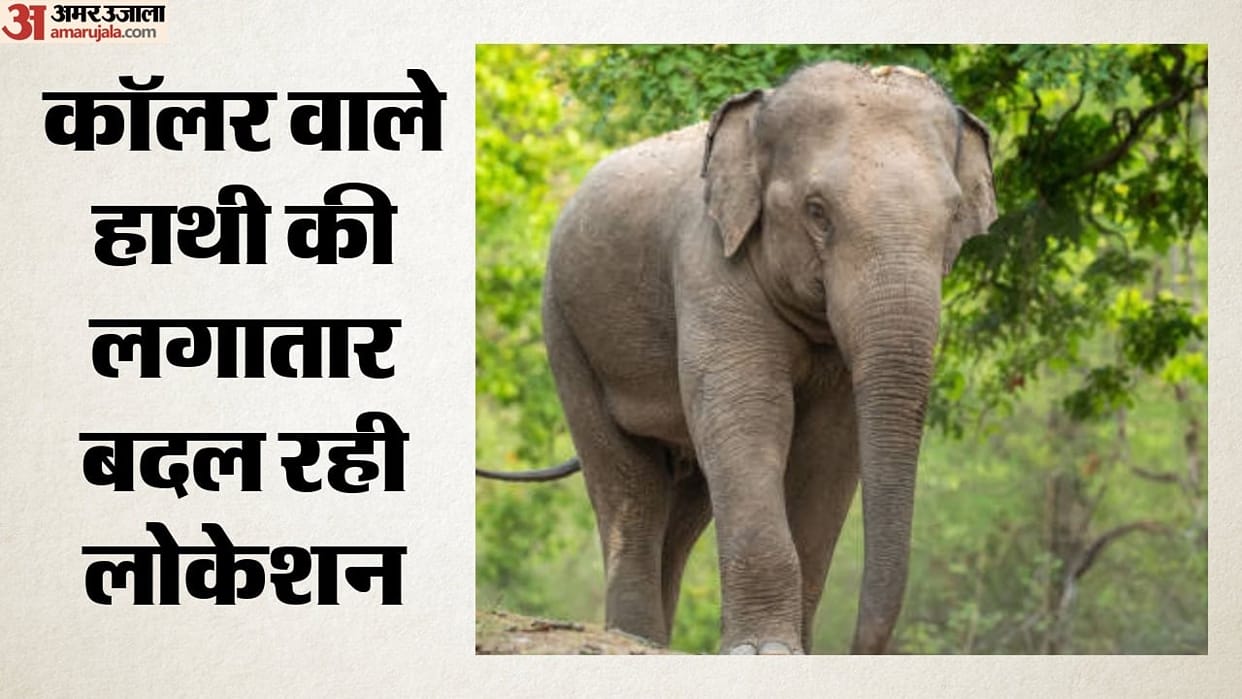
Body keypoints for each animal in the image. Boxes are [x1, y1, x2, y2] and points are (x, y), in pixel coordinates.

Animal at [478, 61, 997, 654]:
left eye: (954, 216)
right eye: (817, 212)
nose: (854, 649)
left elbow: (830, 446)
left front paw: (793, 650)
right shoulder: (707, 264)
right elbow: (748, 413)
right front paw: (766, 650)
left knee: (686, 505)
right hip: (565, 331)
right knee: (629, 486)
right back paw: (635, 637)